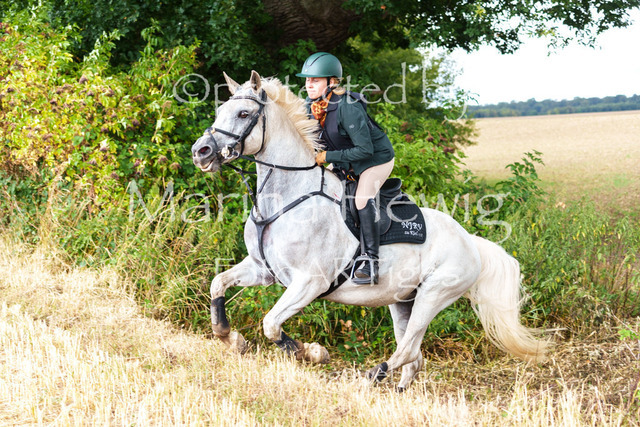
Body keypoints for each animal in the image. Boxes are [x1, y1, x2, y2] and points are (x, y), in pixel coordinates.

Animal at [191, 71, 550, 390]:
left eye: (243, 113)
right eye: (219, 112)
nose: (201, 152)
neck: (287, 197)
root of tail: (472, 242)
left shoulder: (310, 282)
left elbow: (271, 324)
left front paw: (313, 353)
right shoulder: (262, 269)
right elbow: (218, 284)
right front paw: (232, 338)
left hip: (435, 294)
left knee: (408, 349)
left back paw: (371, 376)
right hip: (403, 299)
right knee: (414, 356)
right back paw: (398, 390)